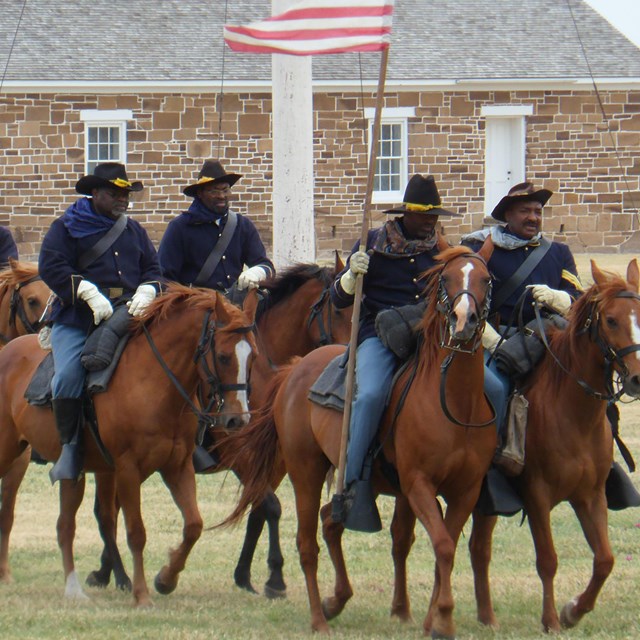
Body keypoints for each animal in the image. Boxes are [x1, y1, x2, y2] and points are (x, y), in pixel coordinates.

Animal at [0, 284, 258, 604]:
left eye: (254, 357)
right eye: (222, 356)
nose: (238, 419)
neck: (154, 382)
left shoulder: (178, 466)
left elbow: (193, 525)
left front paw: (166, 579)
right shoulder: (127, 469)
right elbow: (136, 531)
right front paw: (142, 594)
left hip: (72, 471)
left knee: (65, 525)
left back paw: (73, 589)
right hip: (9, 452)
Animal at [85, 258, 352, 596]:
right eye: (339, 309)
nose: (348, 359)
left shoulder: (273, 462)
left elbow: (260, 510)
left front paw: (248, 573)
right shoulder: (239, 455)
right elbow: (270, 505)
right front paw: (274, 576)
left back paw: (107, 571)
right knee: (107, 510)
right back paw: (113, 573)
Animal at [225, 245, 496, 636]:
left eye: (486, 279)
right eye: (445, 278)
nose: (464, 321)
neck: (454, 401)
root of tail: (295, 369)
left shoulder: (466, 490)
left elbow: (443, 547)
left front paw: (432, 618)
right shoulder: (418, 484)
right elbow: (444, 546)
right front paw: (443, 618)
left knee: (330, 521)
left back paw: (334, 600)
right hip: (305, 471)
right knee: (307, 541)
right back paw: (318, 617)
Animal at [468, 258, 640, 632]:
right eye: (611, 320)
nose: (637, 378)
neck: (575, 414)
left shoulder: (591, 495)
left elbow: (605, 559)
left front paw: (573, 610)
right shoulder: (537, 495)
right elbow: (547, 559)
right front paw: (550, 620)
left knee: (478, 548)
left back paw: (487, 617)